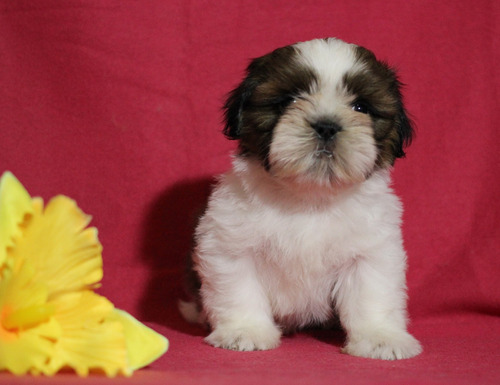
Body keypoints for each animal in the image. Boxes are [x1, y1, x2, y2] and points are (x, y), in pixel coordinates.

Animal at [180, 37, 422, 358]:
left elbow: (372, 293)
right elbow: (239, 289)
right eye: (288, 101)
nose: (327, 125)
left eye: (361, 106)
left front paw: (380, 337)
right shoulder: (229, 244)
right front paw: (245, 330)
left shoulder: (371, 251)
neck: (310, 197)